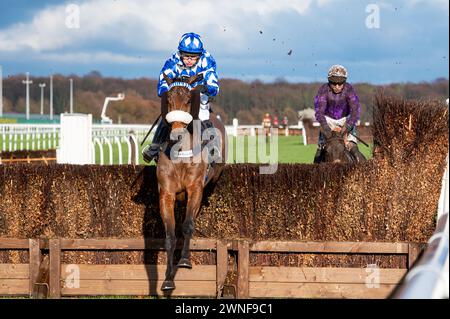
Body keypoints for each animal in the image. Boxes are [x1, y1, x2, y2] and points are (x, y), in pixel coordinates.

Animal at [157, 73, 229, 292]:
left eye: (189, 100)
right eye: (168, 100)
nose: (176, 133)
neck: (181, 153)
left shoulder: (195, 188)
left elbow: (188, 225)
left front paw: (184, 260)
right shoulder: (166, 193)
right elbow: (170, 234)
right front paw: (168, 279)